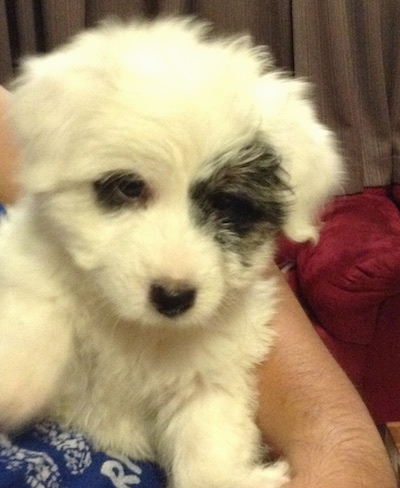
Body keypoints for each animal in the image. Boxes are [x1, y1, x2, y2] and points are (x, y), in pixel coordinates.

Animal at [0, 17, 344, 488]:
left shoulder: (209, 379)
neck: (134, 329)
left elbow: (207, 447)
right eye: (129, 187)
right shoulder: (26, 260)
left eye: (228, 204)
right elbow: (40, 301)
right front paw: (18, 376)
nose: (173, 297)